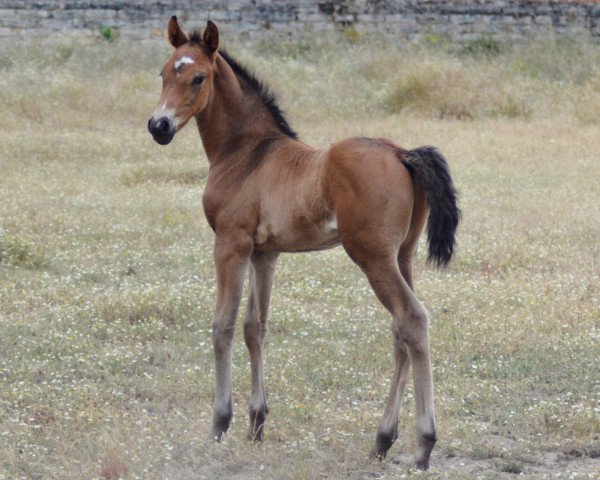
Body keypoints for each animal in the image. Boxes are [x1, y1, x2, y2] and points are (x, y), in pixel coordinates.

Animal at [149, 17, 460, 468]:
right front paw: (256, 424)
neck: (247, 153)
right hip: (404, 256)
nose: (159, 127)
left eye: (198, 77)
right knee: (399, 331)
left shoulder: (231, 244)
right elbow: (254, 326)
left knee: (413, 319)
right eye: (162, 73)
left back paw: (423, 446)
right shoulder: (265, 254)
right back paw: (382, 440)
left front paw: (220, 424)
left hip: (373, 257)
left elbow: (223, 325)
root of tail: (402, 153)